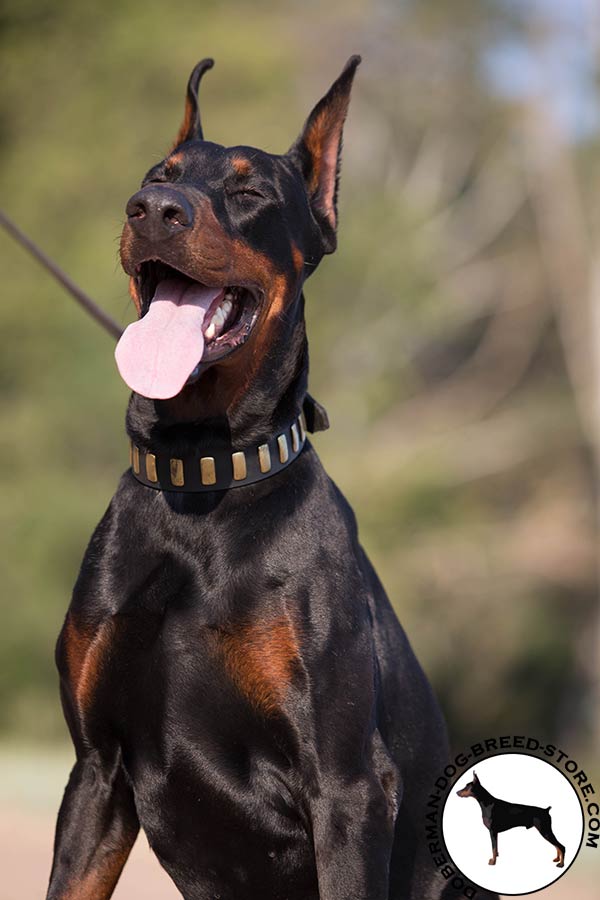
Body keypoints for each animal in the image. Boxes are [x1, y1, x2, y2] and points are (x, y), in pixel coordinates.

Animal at [45, 56, 474, 900]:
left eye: (251, 194)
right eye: (159, 174)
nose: (154, 211)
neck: (203, 479)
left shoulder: (347, 786)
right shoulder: (94, 772)